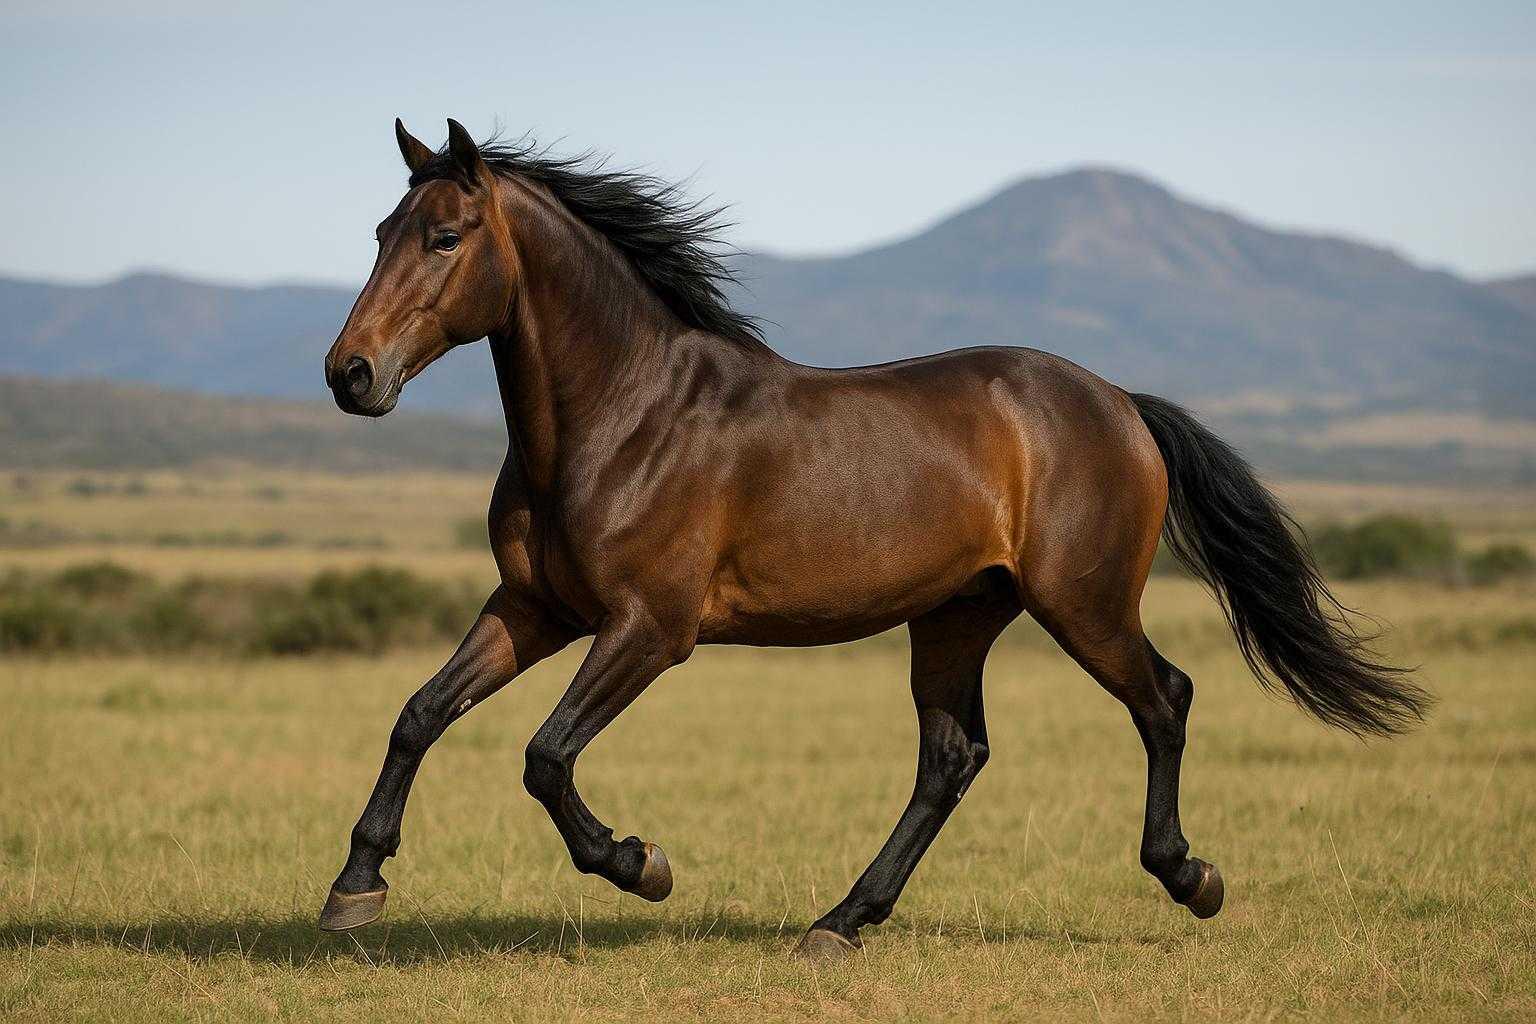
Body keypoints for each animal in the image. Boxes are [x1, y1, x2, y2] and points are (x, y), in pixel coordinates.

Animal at [317, 118, 1428, 957]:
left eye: (445, 237)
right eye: (379, 230)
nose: (350, 374)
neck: (626, 418)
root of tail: (1120, 403)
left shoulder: (650, 629)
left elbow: (545, 756)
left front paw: (644, 865)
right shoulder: (535, 608)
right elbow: (419, 714)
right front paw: (354, 885)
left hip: (1084, 604)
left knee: (1165, 698)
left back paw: (1189, 875)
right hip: (956, 616)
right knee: (953, 757)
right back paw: (841, 921)